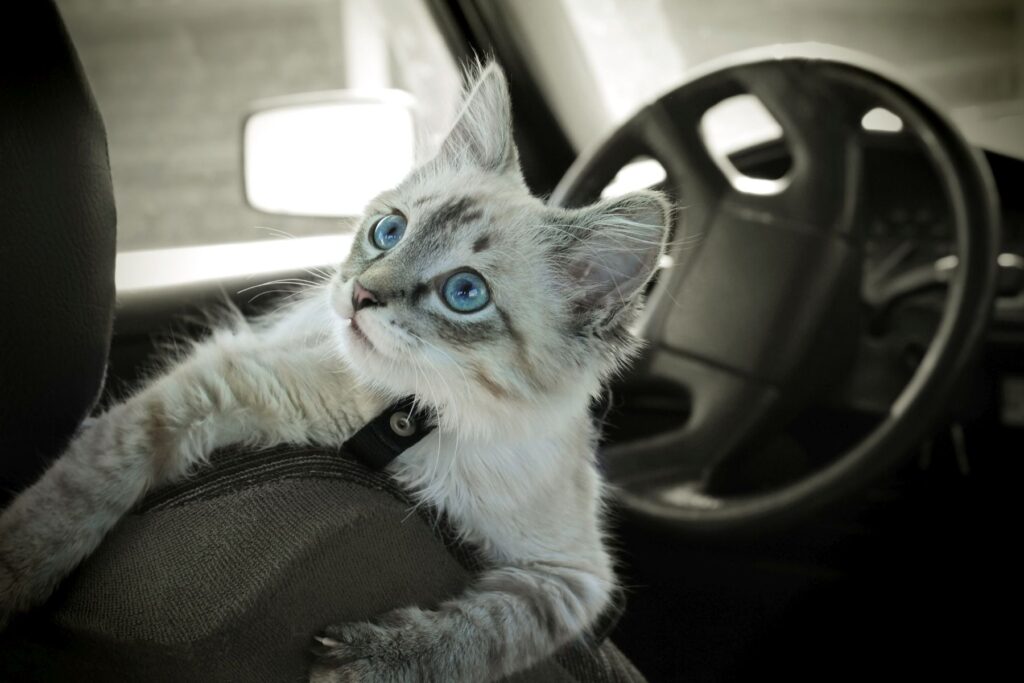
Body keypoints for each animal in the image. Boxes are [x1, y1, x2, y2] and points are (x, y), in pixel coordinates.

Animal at [0, 61, 671, 679]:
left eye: (464, 293)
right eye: (389, 231)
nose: (360, 294)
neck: (418, 421)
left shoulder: (572, 578)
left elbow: (481, 634)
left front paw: (375, 659)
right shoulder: (226, 382)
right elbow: (81, 487)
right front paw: (16, 572)